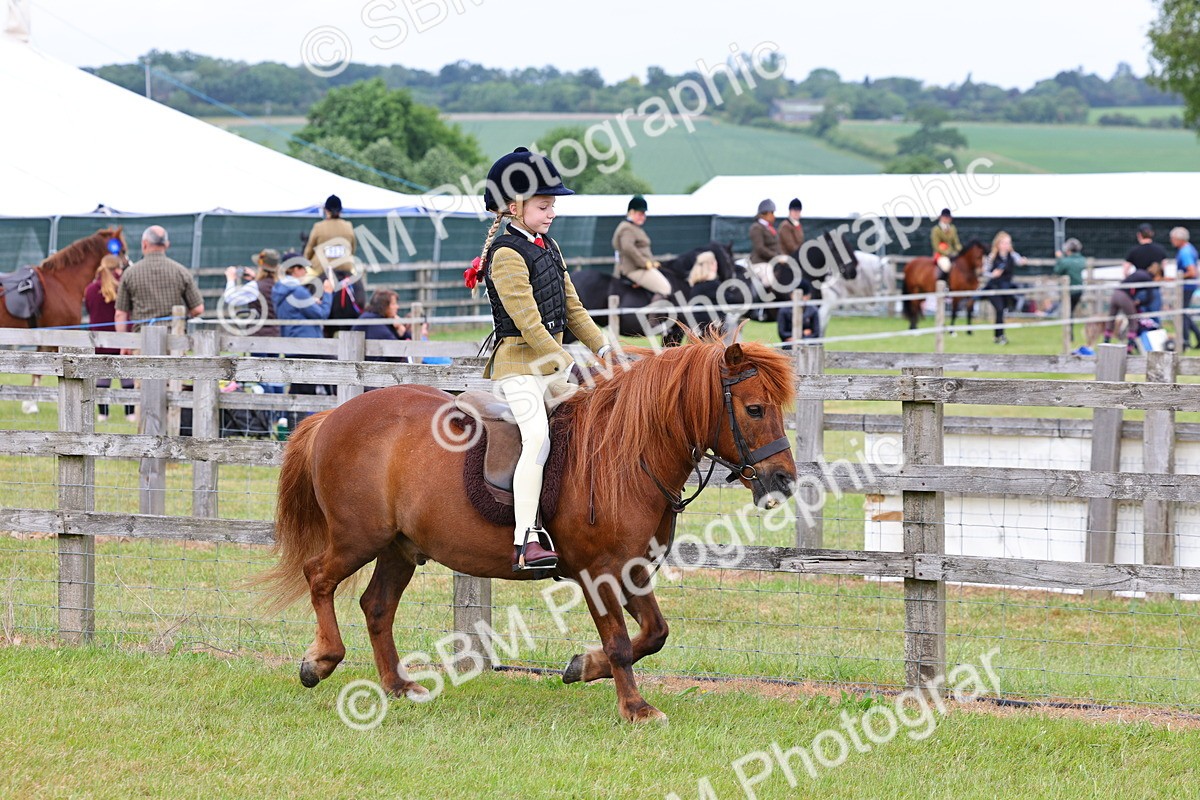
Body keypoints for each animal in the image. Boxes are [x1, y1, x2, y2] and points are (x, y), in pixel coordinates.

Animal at [0, 227, 127, 413]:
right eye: (123, 250)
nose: (128, 266)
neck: (61, 282)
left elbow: (38, 372)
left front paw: (30, 404)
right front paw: (32, 405)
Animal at [255, 330, 798, 723]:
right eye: (754, 409)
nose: (784, 480)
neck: (627, 454)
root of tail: (332, 416)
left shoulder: (632, 570)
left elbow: (655, 634)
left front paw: (583, 667)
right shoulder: (598, 573)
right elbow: (622, 644)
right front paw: (636, 708)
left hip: (398, 547)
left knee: (377, 606)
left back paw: (398, 685)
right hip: (357, 539)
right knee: (319, 578)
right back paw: (321, 660)